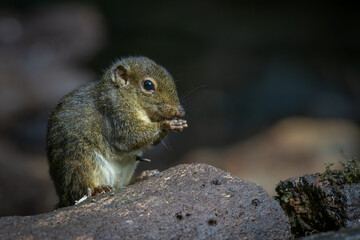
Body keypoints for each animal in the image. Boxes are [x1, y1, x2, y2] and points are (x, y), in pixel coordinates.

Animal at [46, 56, 187, 208]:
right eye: (148, 85)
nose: (180, 111)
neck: (124, 95)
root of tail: (62, 198)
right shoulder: (115, 116)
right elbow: (129, 138)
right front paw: (167, 124)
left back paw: (141, 177)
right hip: (80, 163)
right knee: (79, 191)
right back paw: (97, 190)